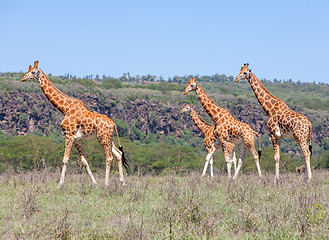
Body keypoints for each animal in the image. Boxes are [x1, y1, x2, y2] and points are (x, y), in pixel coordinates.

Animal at [21, 60, 129, 188]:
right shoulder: (78, 139)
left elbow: (65, 159)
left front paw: (60, 184)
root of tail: (113, 124)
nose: (22, 79)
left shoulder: (69, 135)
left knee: (109, 158)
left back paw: (106, 184)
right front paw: (94, 183)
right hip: (109, 138)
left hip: (103, 138)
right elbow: (84, 161)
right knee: (118, 154)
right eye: (27, 70)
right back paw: (123, 183)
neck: (65, 108)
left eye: (33, 72)